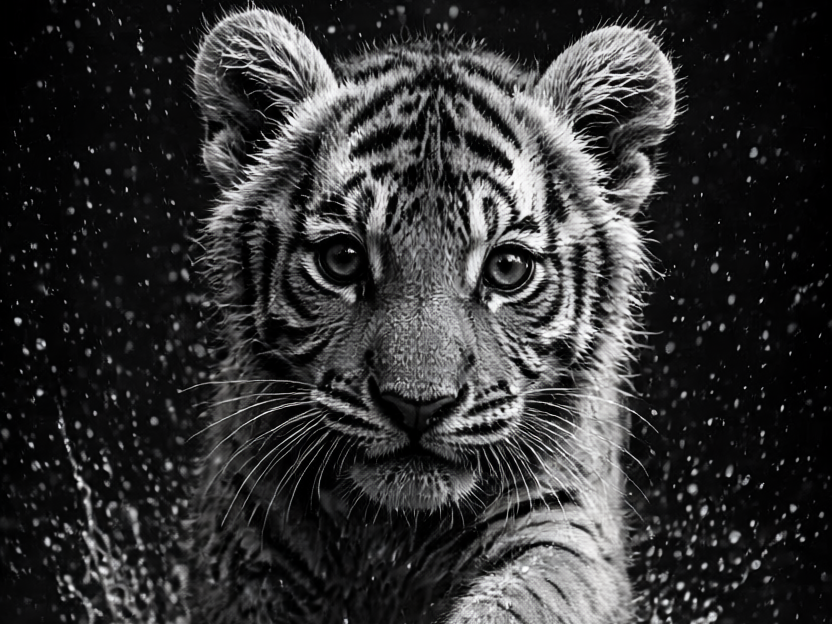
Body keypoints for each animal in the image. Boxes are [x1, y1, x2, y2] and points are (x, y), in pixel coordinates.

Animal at [188, 8, 676, 624]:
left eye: (507, 268)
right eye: (342, 259)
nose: (416, 406)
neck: (395, 535)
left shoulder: (566, 523)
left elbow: (530, 594)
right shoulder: (246, 547)